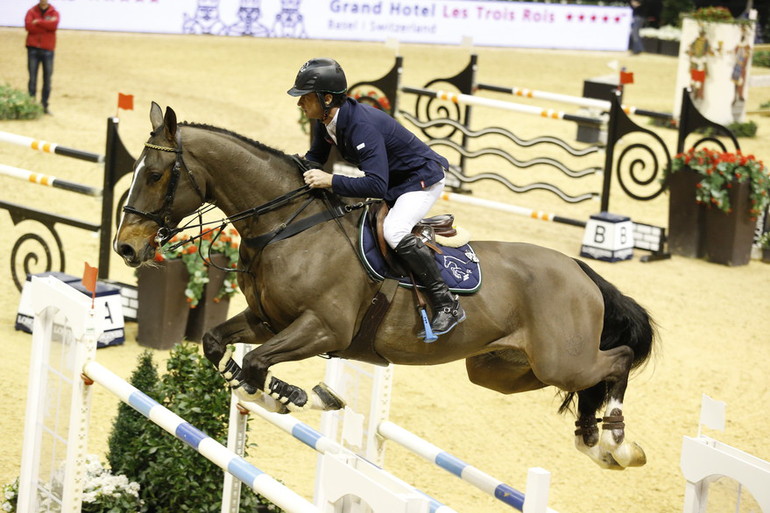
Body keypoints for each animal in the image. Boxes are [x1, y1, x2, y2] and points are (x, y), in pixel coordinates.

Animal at [114, 101, 656, 468]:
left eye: (157, 174)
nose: (126, 248)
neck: (287, 225)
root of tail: (581, 271)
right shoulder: (268, 320)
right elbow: (219, 346)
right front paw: (281, 394)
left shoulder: (325, 328)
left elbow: (258, 362)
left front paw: (294, 393)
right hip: (504, 369)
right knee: (591, 381)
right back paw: (593, 439)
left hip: (560, 359)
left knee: (617, 361)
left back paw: (618, 441)